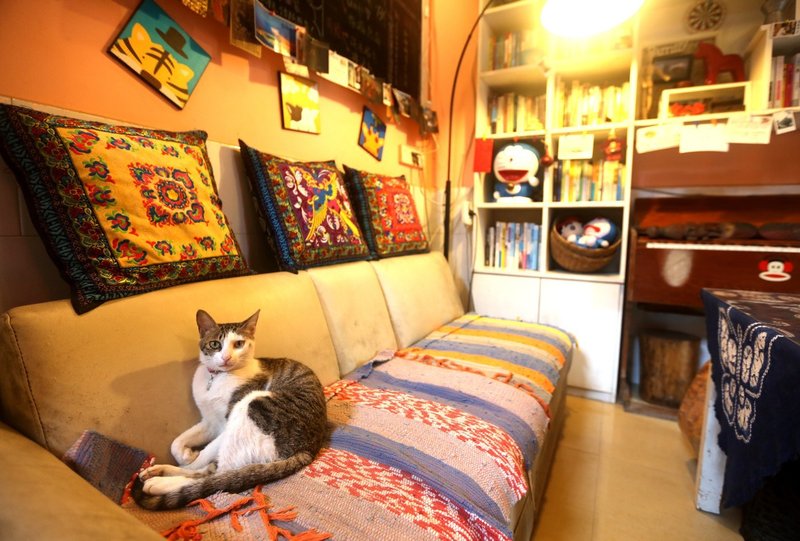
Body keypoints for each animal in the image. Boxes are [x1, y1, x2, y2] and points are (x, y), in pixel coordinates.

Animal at [132, 309, 328, 510]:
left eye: (239, 344)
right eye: (215, 344)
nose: (226, 357)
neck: (217, 378)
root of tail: (309, 448)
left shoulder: (225, 426)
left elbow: (204, 456)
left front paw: (191, 457)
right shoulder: (211, 422)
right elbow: (177, 442)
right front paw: (186, 455)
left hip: (250, 407)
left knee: (217, 475)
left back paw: (159, 483)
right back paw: (158, 470)